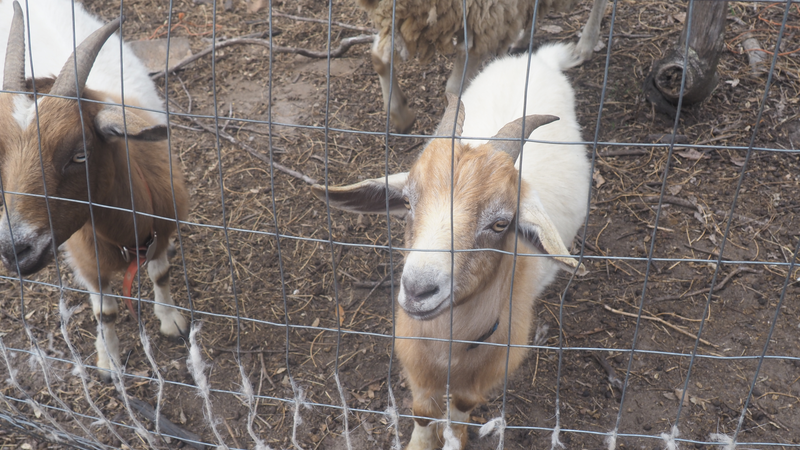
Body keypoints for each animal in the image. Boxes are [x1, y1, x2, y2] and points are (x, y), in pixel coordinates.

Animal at [0, 0, 188, 381]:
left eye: (80, 154)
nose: (15, 251)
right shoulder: (87, 260)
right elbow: (106, 313)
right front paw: (110, 363)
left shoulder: (162, 225)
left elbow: (160, 274)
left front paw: (172, 322)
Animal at [312, 43, 590, 449]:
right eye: (407, 203)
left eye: (501, 223)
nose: (418, 289)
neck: (449, 343)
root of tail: (537, 58)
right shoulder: (415, 358)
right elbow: (423, 411)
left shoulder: (488, 368)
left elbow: (460, 411)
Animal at [358, 0, 608, 133]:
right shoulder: (396, 17)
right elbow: (378, 58)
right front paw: (401, 115)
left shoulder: (480, 19)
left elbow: (455, 88)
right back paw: (522, 39)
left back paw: (586, 44)